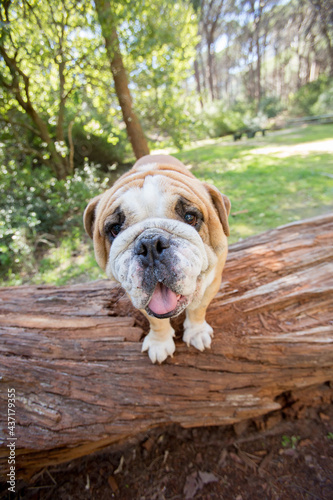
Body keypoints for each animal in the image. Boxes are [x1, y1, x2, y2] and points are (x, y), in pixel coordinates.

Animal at [83, 153, 230, 364]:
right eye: (115, 229)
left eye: (190, 217)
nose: (151, 243)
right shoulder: (135, 293)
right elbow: (155, 320)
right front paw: (159, 343)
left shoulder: (212, 282)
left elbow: (197, 309)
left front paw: (197, 332)